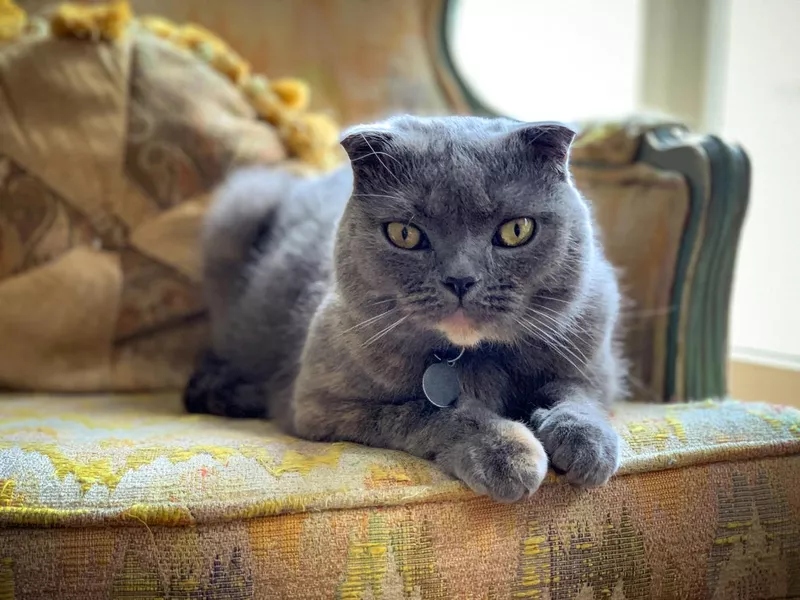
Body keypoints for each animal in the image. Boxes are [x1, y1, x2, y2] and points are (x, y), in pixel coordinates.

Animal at [184, 115, 620, 500]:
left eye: (516, 230)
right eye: (405, 234)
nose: (460, 280)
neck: (469, 357)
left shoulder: (591, 357)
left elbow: (578, 394)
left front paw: (589, 443)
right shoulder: (321, 404)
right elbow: (426, 412)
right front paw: (506, 453)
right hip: (239, 212)